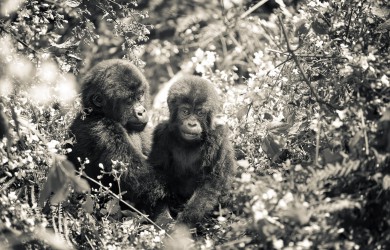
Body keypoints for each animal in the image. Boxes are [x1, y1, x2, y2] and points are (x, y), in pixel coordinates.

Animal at [67, 59, 163, 209]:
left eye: (140, 96)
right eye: (129, 101)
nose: (141, 111)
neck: (98, 113)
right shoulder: (103, 130)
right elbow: (150, 184)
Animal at [149, 75, 235, 225]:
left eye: (200, 113)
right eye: (185, 112)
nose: (191, 124)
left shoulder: (218, 136)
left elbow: (213, 181)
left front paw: (183, 223)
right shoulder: (161, 134)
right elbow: (158, 177)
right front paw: (163, 217)